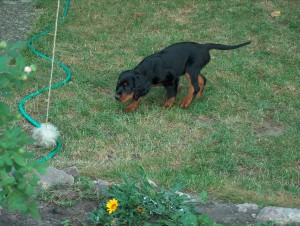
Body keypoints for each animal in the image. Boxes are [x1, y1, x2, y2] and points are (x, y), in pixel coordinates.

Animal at [115, 41, 251, 111]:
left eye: (127, 86)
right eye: (119, 84)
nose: (116, 97)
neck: (146, 70)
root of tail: (203, 46)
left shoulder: (173, 79)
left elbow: (171, 94)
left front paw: (168, 104)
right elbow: (136, 96)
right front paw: (131, 106)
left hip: (191, 69)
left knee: (195, 86)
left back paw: (186, 101)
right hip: (191, 69)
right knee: (202, 80)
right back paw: (197, 97)